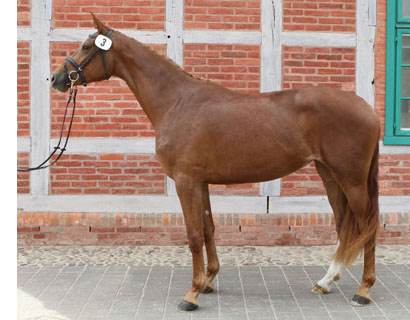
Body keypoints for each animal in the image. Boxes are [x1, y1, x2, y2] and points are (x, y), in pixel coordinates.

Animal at [52, 15, 382, 310]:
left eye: (85, 46)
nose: (56, 78)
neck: (177, 102)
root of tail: (368, 109)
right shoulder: (201, 182)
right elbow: (208, 228)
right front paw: (209, 281)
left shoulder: (185, 181)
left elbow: (193, 234)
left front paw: (192, 293)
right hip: (330, 176)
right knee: (344, 225)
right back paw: (326, 281)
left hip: (351, 179)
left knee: (369, 225)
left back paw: (364, 291)